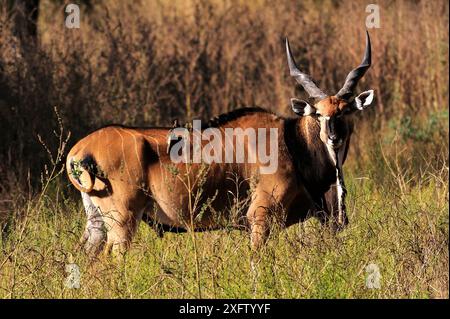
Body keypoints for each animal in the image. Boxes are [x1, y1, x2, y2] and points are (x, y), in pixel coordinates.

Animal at [67, 31, 374, 258]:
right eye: (318, 113)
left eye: (345, 111)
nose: (334, 137)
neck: (292, 142)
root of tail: (80, 149)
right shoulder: (260, 218)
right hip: (122, 222)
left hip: (97, 223)